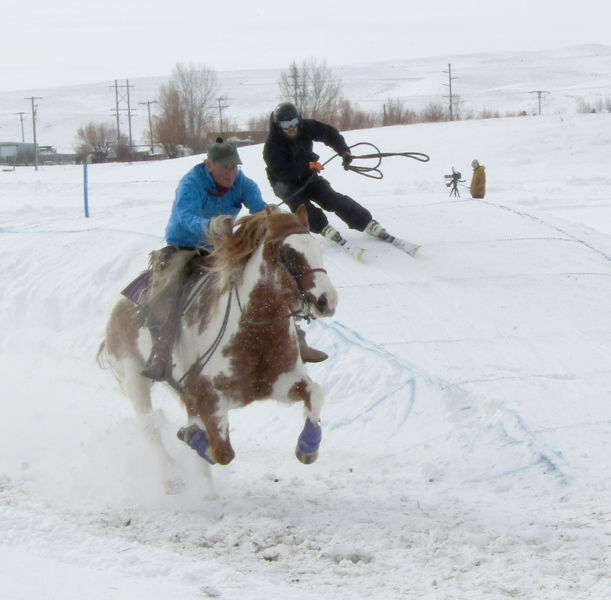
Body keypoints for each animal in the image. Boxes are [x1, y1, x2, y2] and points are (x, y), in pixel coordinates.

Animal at [100, 204, 340, 486]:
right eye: (288, 253)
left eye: (318, 249)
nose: (327, 300)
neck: (255, 337)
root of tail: (117, 305)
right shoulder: (208, 398)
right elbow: (222, 453)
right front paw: (190, 436)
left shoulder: (283, 383)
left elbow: (315, 394)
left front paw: (307, 447)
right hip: (133, 379)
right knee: (151, 430)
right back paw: (171, 478)